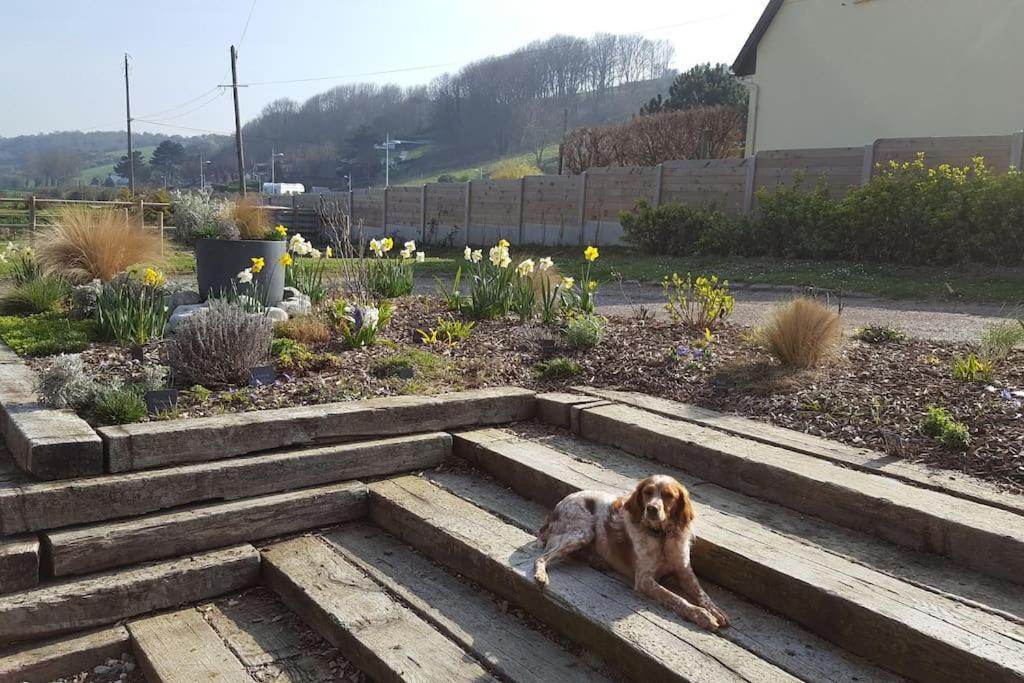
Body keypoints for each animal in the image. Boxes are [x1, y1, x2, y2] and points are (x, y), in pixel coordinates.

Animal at [536, 475, 729, 630]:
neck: (661, 537)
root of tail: (557, 507)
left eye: (668, 496)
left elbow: (702, 593)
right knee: (541, 557)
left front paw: (716, 610)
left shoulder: (684, 571)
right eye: (647, 492)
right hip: (582, 532)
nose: (652, 508)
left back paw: (597, 561)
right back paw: (541, 576)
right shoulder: (644, 580)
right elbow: (675, 598)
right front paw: (703, 616)